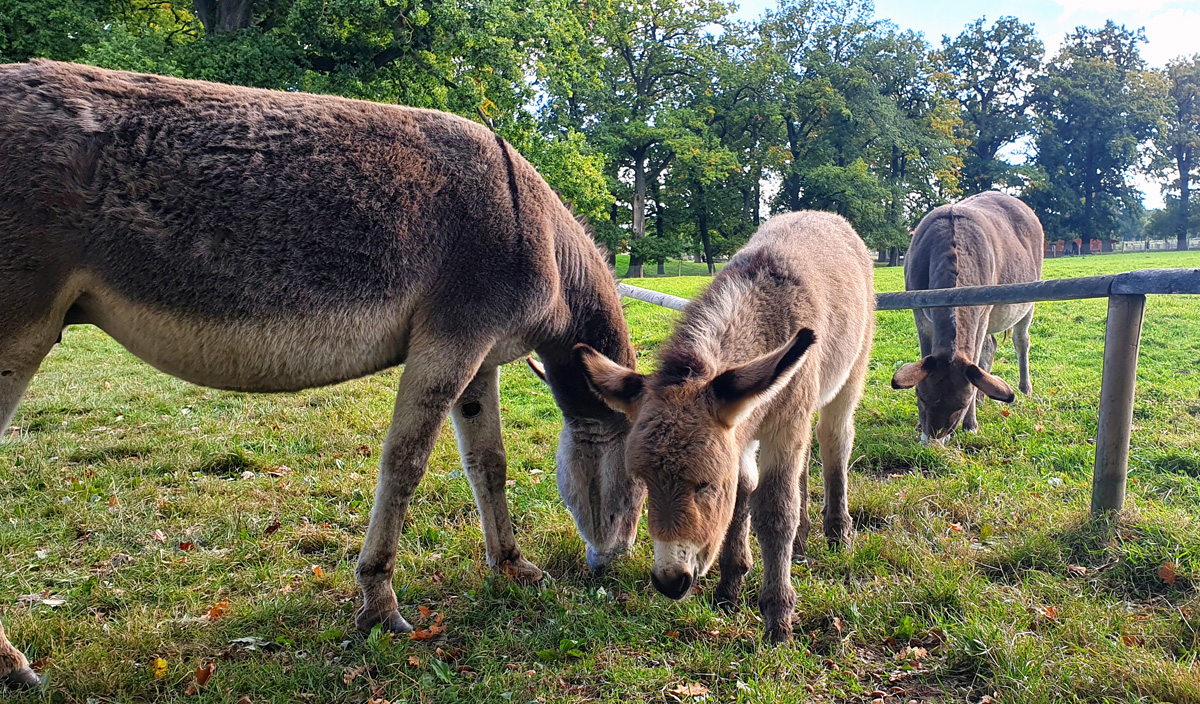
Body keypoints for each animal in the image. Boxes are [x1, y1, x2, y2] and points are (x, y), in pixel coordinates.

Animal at [0, 60, 648, 690]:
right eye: (643, 482)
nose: (615, 568)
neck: (539, 237)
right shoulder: (450, 341)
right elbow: (406, 463)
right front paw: (379, 604)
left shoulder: (480, 358)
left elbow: (487, 463)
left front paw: (512, 566)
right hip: (20, 329)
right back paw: (14, 665)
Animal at [578, 212, 873, 642]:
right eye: (646, 484)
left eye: (706, 485)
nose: (670, 582)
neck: (765, 314)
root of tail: (823, 215)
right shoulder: (741, 433)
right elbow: (745, 493)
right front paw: (730, 586)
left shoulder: (783, 425)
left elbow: (774, 510)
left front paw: (777, 617)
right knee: (802, 465)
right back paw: (801, 543)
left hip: (848, 376)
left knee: (835, 442)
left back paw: (836, 533)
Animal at [888, 191, 1046, 446]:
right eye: (920, 396)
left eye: (961, 405)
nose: (933, 439)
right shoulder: (918, 311)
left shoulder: (983, 310)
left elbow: (976, 355)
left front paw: (971, 425)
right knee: (991, 345)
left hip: (1029, 298)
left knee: (1021, 340)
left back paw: (1025, 388)